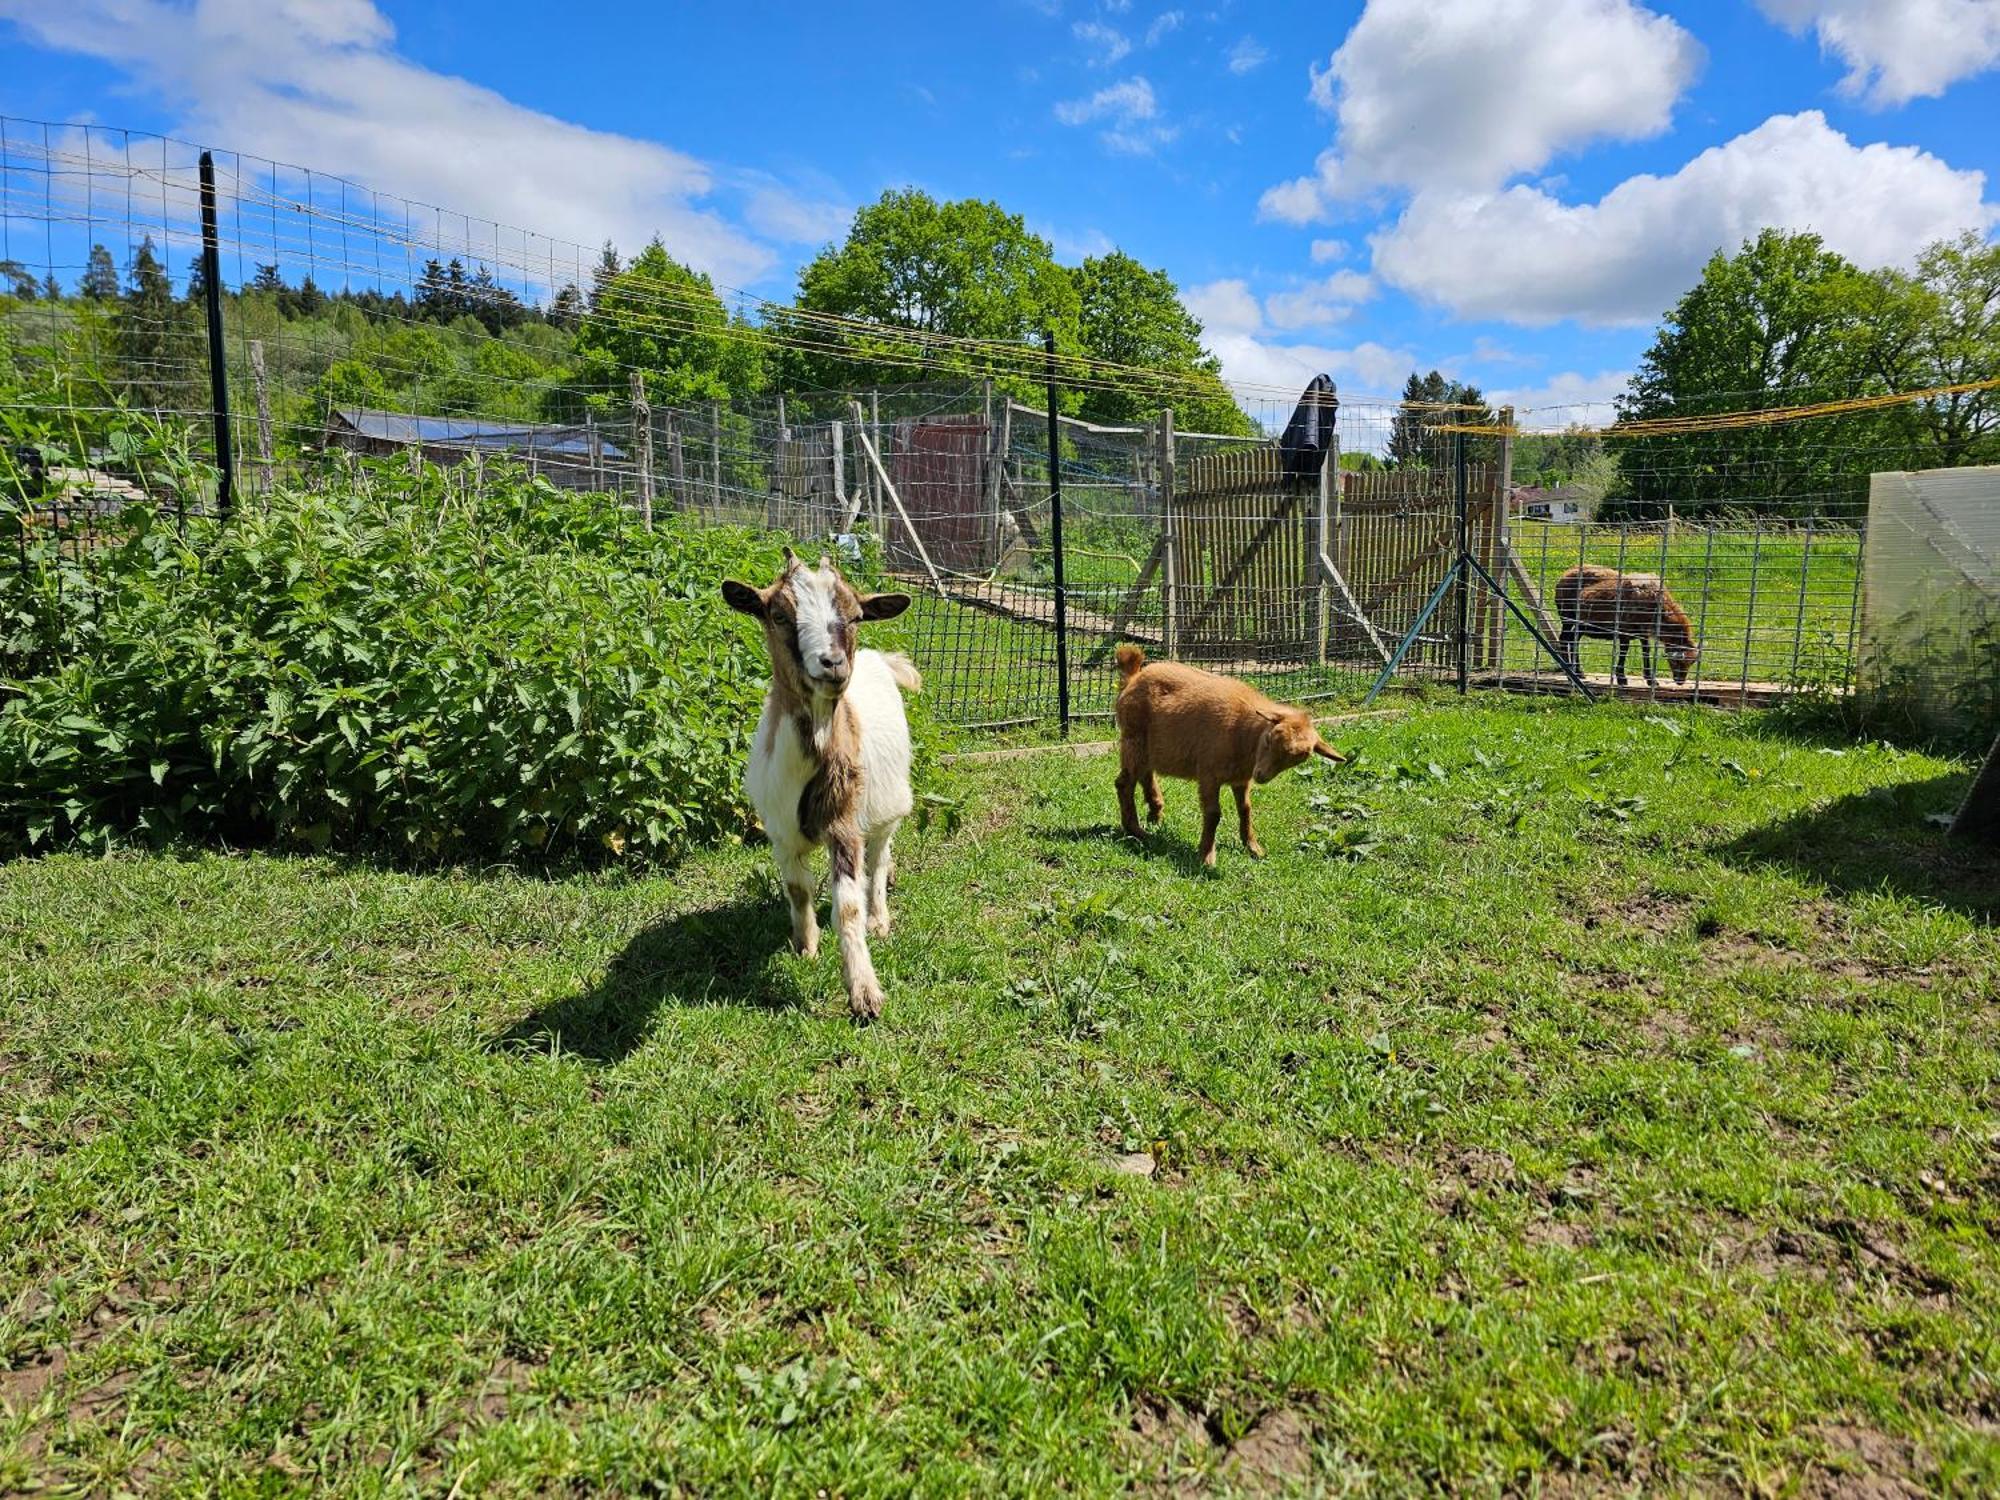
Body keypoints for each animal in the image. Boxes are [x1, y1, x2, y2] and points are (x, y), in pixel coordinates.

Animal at [724, 548, 916, 1032]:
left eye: (855, 615)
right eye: (777, 614)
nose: (832, 664)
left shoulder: (845, 823)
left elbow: (847, 904)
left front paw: (864, 994)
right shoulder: (779, 833)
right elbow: (798, 890)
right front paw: (805, 946)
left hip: (888, 807)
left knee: (879, 861)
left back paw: (879, 919)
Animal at [1112, 648, 1344, 868]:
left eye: (1298, 759)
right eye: (1269, 738)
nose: (1261, 775)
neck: (1245, 733)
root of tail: (1134, 678)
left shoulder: (1241, 779)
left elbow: (1245, 810)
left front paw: (1253, 847)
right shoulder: (1208, 774)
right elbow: (1214, 814)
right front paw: (1206, 856)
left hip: (1148, 747)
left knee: (1145, 773)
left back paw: (1155, 813)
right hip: (1133, 738)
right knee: (1124, 783)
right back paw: (1136, 830)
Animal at [1544, 568, 1704, 692]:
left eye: (1692, 663)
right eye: (1676, 662)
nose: (1680, 681)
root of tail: (1565, 574)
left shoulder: (1643, 632)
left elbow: (1646, 651)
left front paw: (1650, 680)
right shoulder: (1625, 629)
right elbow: (1624, 651)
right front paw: (1621, 678)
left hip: (1579, 624)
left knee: (1573, 641)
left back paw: (1579, 672)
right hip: (1567, 616)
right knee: (1565, 640)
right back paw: (1570, 672)